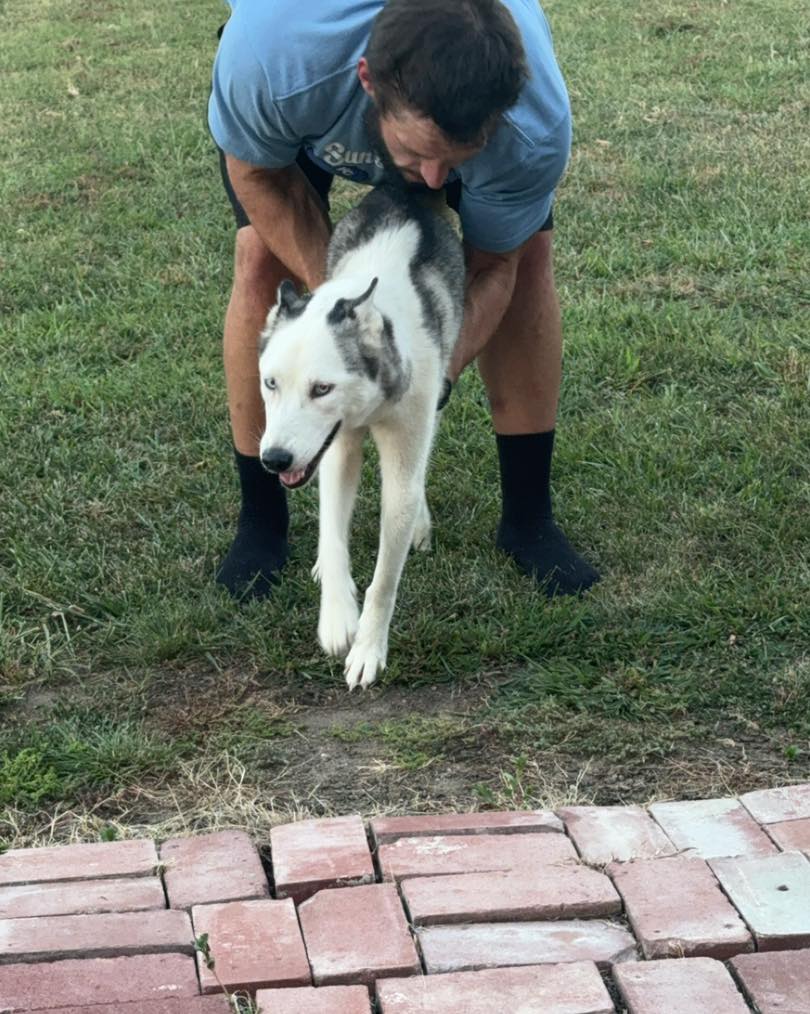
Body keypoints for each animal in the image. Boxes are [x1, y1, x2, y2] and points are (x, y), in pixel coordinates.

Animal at [258, 184, 462, 689]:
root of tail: (399, 188)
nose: (274, 459)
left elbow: (385, 578)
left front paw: (368, 650)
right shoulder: (335, 450)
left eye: (321, 388)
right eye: (270, 383)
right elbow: (334, 536)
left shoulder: (405, 445)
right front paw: (336, 620)